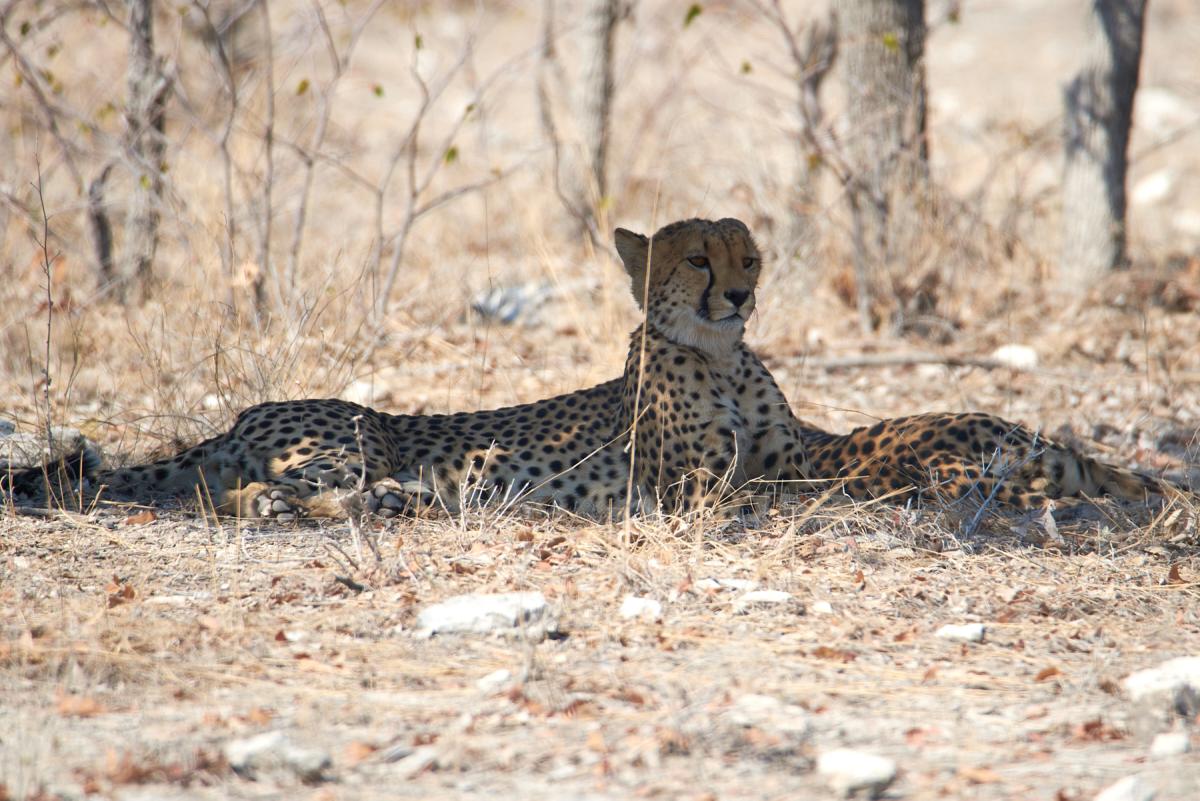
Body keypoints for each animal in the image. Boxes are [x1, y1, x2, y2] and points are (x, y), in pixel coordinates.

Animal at [3, 217, 1180, 519]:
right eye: (697, 259)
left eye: (748, 255)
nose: (739, 294)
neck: (722, 356)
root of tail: (238, 417)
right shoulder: (701, 483)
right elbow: (764, 485)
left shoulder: (787, 454)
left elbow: (829, 460)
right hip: (345, 433)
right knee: (264, 494)